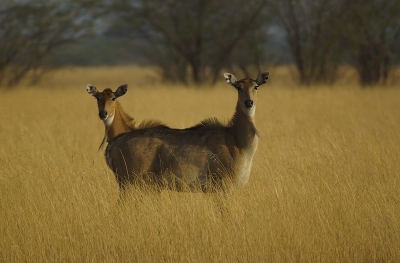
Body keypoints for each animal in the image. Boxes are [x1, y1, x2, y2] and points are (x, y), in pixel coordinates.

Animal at [104, 72, 270, 194]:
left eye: (256, 86)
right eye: (239, 87)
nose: (249, 102)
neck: (236, 140)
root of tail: (113, 144)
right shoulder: (221, 186)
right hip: (129, 183)